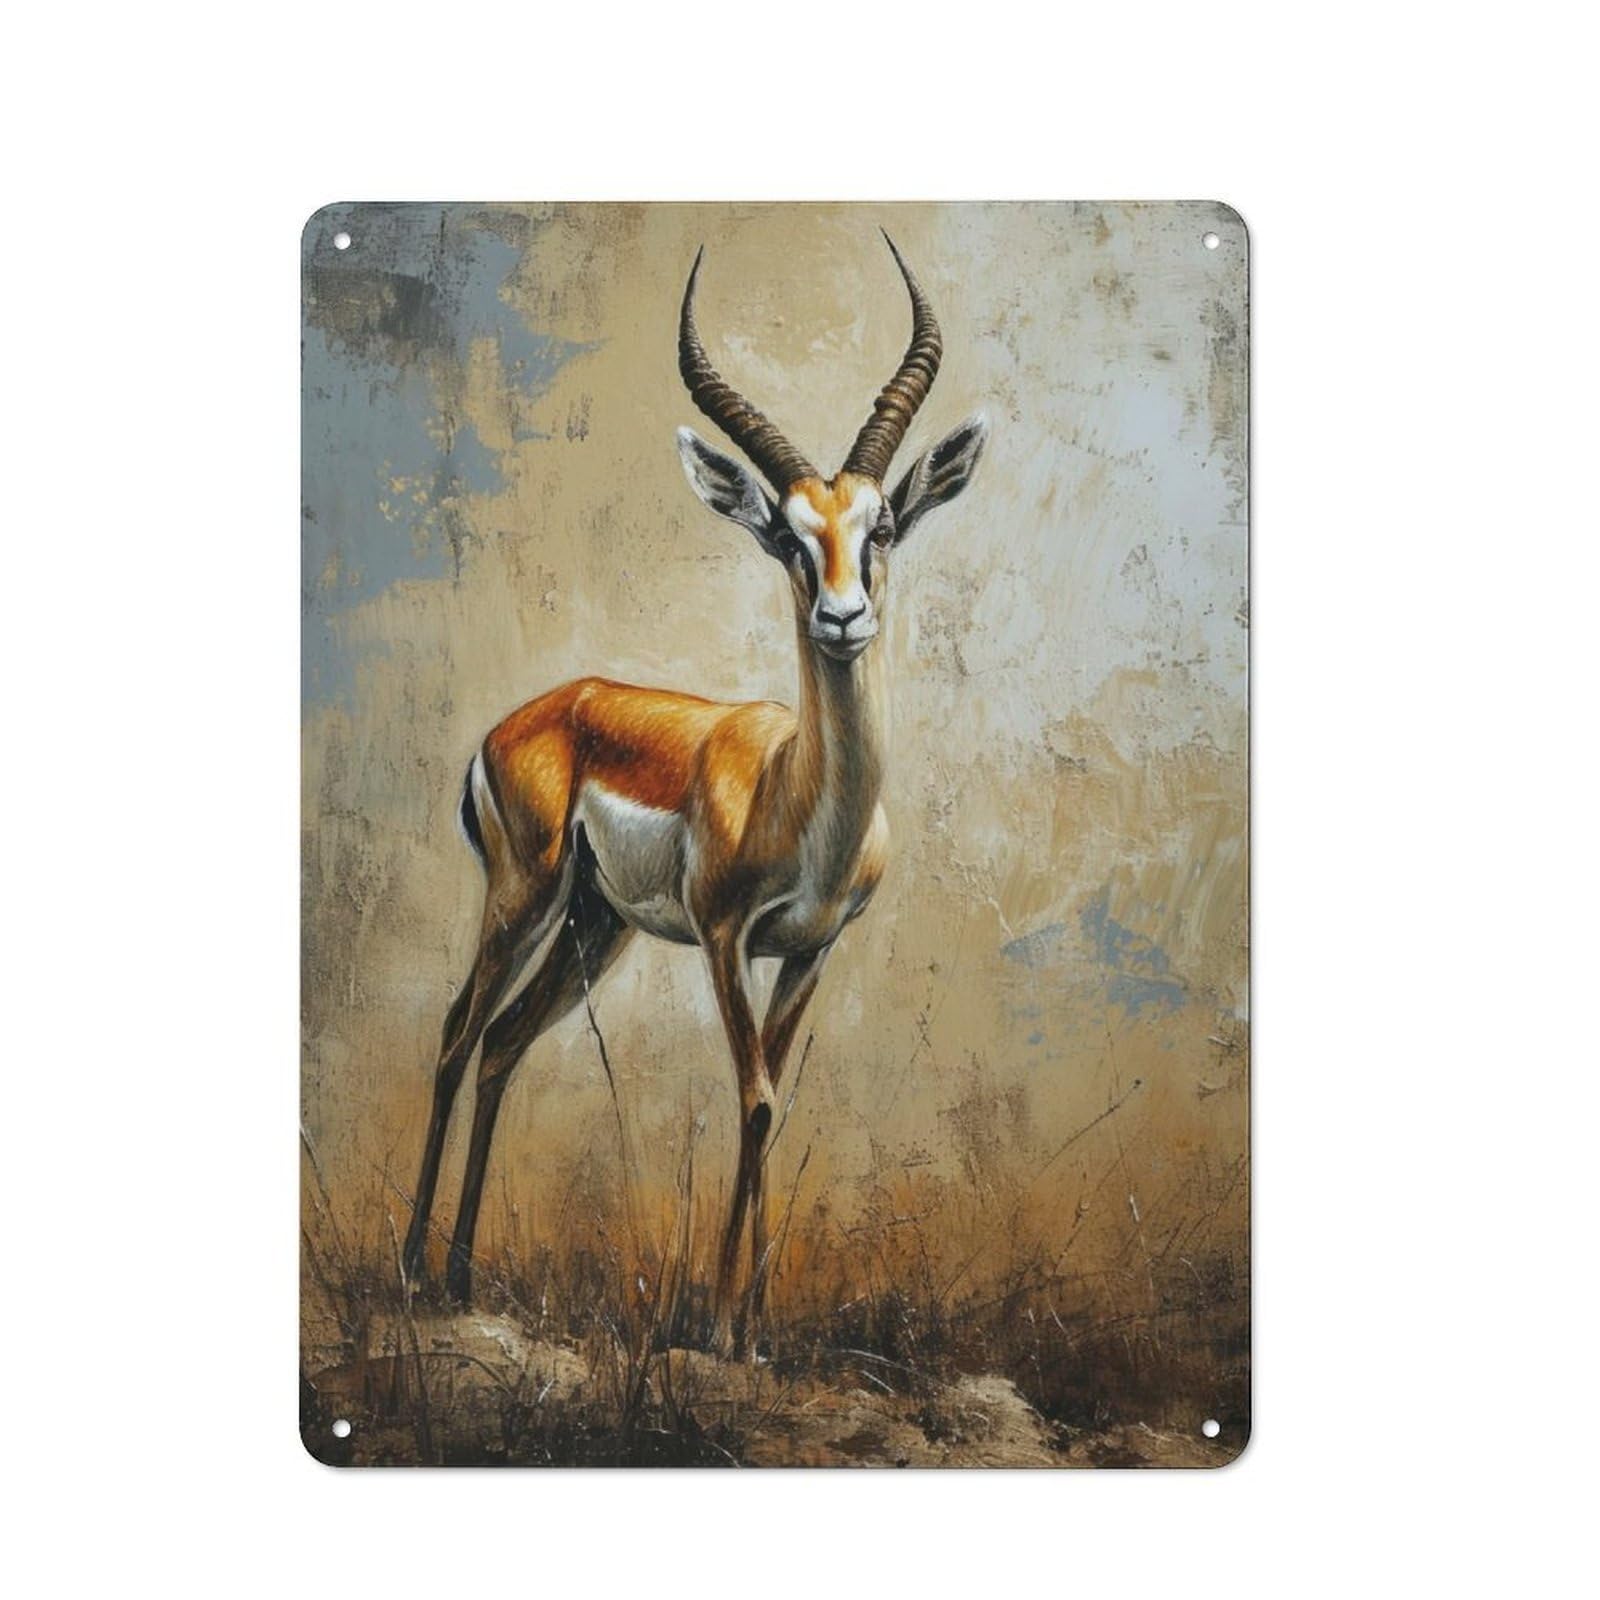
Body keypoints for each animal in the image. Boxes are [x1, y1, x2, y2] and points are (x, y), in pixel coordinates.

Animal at [401, 233, 987, 1347]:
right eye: (788, 537)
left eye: (884, 525)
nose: (842, 617)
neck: (800, 795)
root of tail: (529, 715)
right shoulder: (722, 938)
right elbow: (750, 1096)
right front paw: (722, 1329)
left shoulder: (810, 950)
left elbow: (776, 1102)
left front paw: (753, 1326)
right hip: (524, 897)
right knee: (455, 1034)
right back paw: (410, 1271)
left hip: (594, 927)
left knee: (502, 1044)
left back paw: (457, 1276)